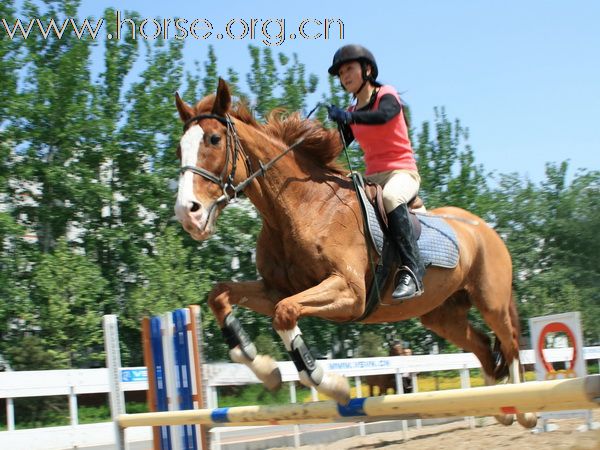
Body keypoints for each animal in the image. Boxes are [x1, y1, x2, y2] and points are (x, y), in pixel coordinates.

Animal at [173, 79, 536, 428]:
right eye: (180, 148)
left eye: (214, 139)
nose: (187, 213)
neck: (301, 208)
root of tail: (485, 229)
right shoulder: (275, 288)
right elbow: (221, 296)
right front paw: (263, 366)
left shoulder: (350, 293)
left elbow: (285, 313)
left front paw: (329, 382)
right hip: (442, 315)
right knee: (484, 347)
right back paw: (502, 409)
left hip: (491, 301)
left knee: (510, 344)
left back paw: (525, 412)